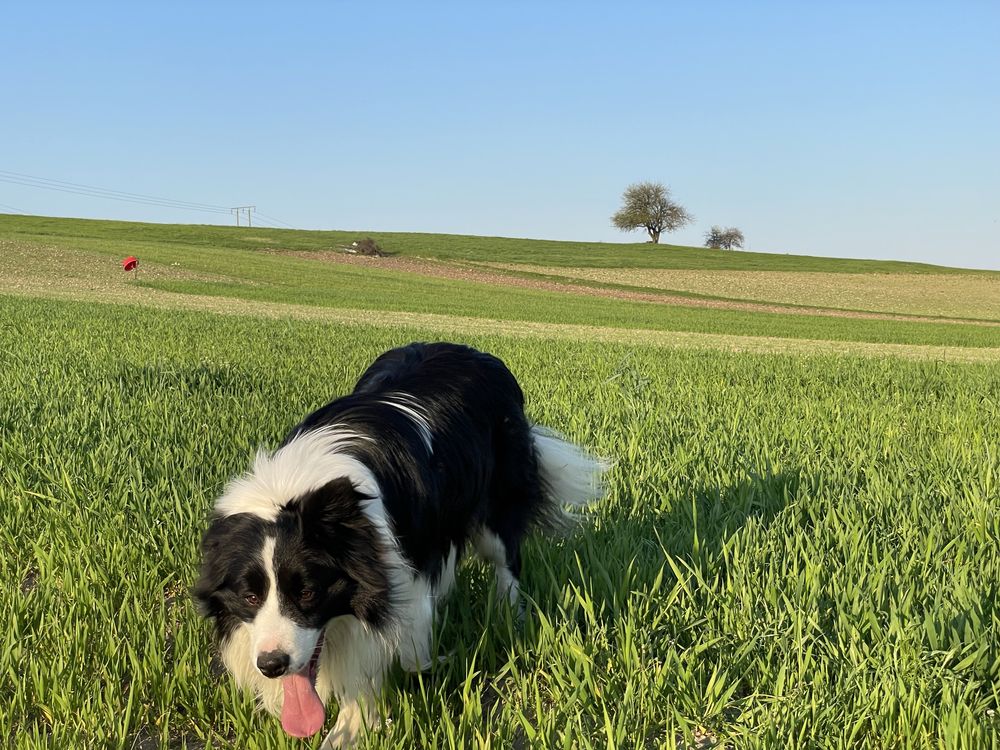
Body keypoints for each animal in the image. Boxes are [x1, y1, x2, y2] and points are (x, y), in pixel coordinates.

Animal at [192, 344, 604, 748]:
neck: (294, 491)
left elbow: (389, 649)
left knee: (507, 561)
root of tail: (471, 350)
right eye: (249, 597)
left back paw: (507, 614)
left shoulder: (403, 574)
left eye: (308, 592)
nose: (271, 665)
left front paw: (357, 724)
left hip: (495, 506)